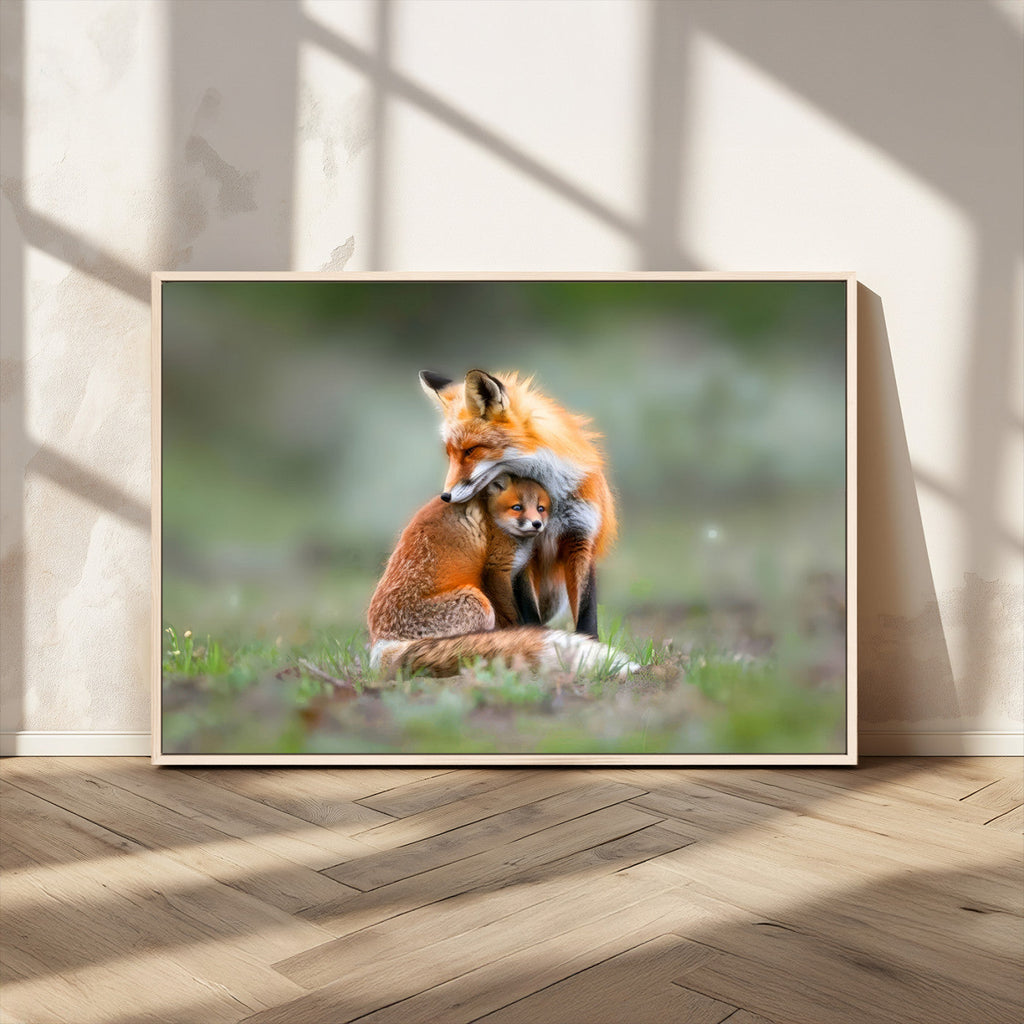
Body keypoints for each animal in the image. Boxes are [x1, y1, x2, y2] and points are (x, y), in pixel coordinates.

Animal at [368, 474, 634, 677]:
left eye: (540, 508)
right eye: (517, 507)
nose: (537, 524)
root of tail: (381, 643)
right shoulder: (497, 569)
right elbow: (513, 615)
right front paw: (523, 635)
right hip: (478, 603)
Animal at [419, 368, 616, 639]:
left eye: (470, 450)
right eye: (450, 454)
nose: (445, 496)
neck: (551, 499)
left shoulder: (580, 538)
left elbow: (586, 612)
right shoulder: (523, 552)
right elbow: (529, 611)